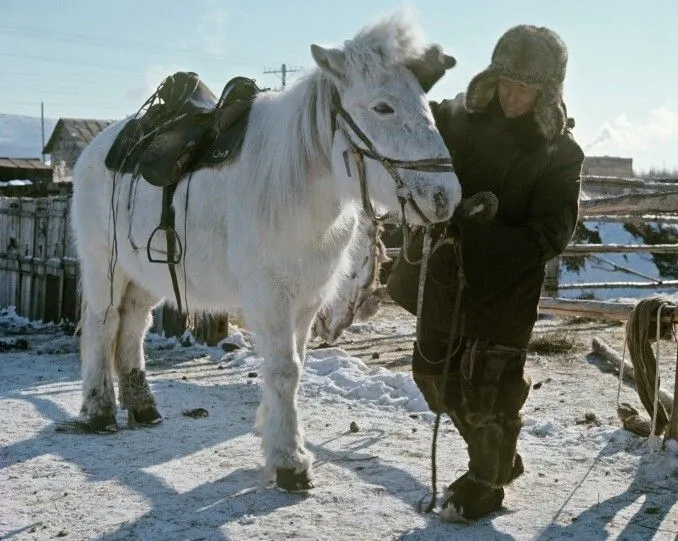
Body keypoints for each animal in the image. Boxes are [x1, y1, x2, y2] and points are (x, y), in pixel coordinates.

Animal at [71, 14, 464, 492]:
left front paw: (280, 443)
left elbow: (296, 368)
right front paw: (290, 461)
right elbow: (283, 370)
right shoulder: (269, 295)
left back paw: (142, 407)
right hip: (103, 267)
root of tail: (99, 149)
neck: (296, 184)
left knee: (132, 326)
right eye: (383, 107)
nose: (446, 196)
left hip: (146, 272)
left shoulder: (307, 299)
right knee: (103, 323)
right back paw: (100, 410)